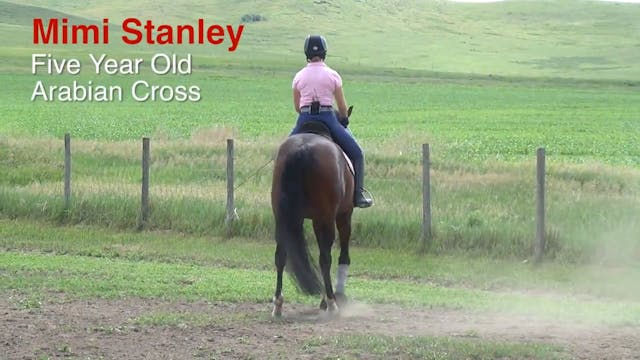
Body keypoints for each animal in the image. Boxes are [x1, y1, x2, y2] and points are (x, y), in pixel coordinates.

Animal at [270, 106, 356, 316]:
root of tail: (302, 149)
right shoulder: (344, 215)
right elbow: (343, 254)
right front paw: (338, 295)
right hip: (325, 218)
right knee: (325, 258)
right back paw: (331, 302)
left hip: (282, 218)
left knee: (280, 256)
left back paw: (278, 305)